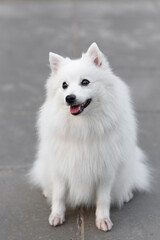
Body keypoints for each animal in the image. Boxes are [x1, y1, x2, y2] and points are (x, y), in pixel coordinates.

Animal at [29, 42, 151, 231]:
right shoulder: (61, 168)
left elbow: (103, 199)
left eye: (85, 82)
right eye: (64, 85)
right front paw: (57, 215)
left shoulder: (105, 170)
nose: (69, 98)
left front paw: (103, 219)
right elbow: (59, 195)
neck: (83, 126)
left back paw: (126, 194)